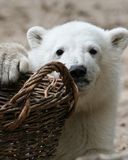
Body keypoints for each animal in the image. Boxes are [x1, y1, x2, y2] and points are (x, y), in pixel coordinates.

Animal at [0, 21, 128, 160]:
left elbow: (95, 151)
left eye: (93, 50)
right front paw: (6, 62)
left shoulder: (96, 119)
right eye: (59, 51)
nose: (77, 70)